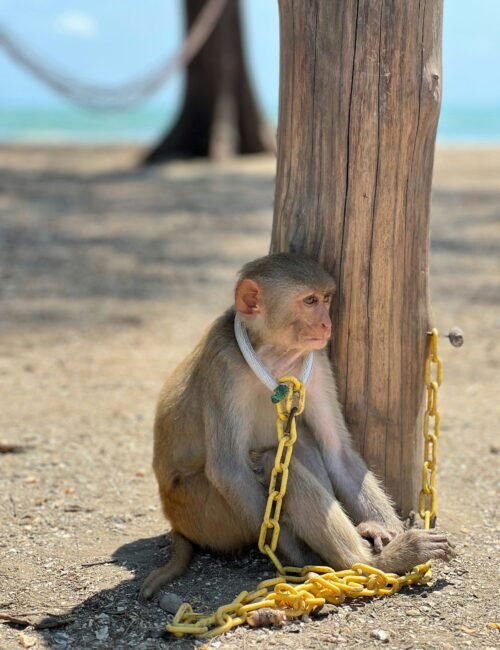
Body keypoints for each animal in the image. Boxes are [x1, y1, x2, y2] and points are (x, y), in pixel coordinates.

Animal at [140, 253, 454, 599]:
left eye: (326, 299)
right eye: (310, 301)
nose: (327, 324)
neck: (271, 352)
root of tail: (176, 520)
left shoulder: (316, 361)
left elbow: (337, 451)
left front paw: (388, 527)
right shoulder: (223, 368)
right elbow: (229, 470)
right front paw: (305, 557)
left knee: (298, 443)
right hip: (207, 515)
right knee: (271, 462)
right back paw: (370, 561)